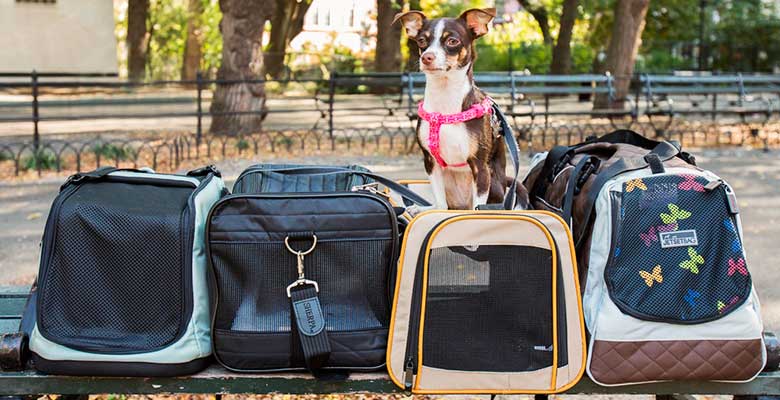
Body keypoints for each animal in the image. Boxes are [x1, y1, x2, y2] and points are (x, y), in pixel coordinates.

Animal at [390, 7, 532, 211]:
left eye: (452, 41)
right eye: (422, 41)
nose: (426, 57)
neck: (446, 98)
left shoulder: (480, 167)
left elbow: (477, 209)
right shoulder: (430, 162)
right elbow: (441, 205)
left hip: (492, 182)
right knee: (445, 206)